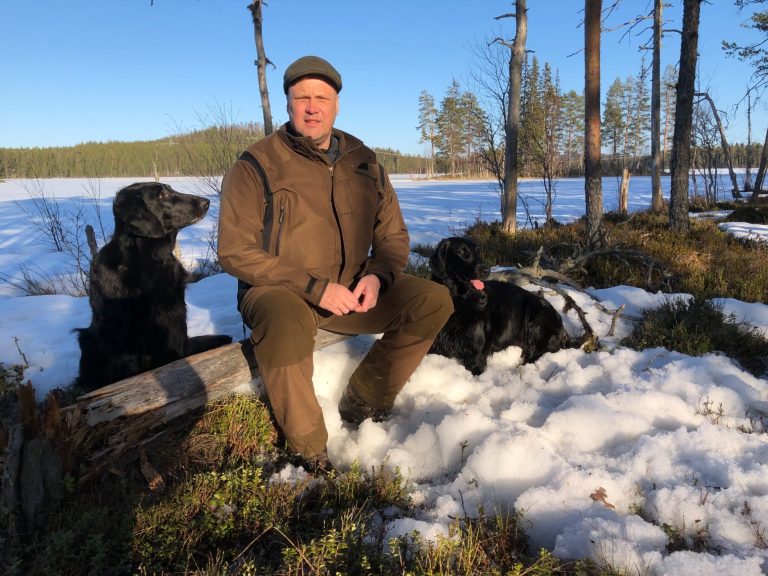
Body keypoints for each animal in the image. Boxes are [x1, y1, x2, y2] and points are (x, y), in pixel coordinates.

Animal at [428, 236, 569, 375]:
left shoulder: (477, 353)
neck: (459, 299)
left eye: (478, 253)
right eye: (463, 253)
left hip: (536, 318)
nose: (487, 270)